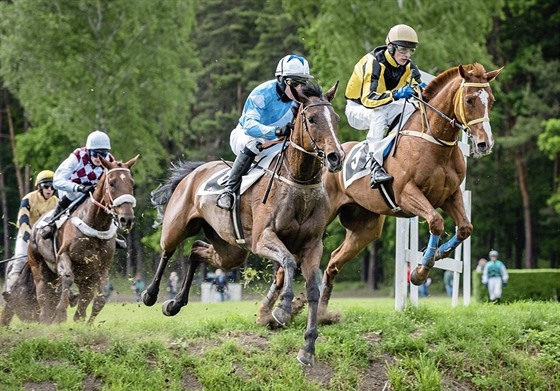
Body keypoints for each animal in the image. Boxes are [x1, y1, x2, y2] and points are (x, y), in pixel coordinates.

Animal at [5, 155, 139, 324]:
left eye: (131, 183)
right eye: (112, 183)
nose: (127, 219)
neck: (95, 225)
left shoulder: (101, 267)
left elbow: (99, 299)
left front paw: (86, 324)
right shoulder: (64, 256)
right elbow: (68, 278)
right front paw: (60, 315)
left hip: (76, 275)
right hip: (39, 267)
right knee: (43, 295)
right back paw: (45, 317)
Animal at [143, 81, 346, 366]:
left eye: (336, 118)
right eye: (312, 119)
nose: (335, 157)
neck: (298, 181)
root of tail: (194, 172)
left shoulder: (312, 246)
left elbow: (312, 290)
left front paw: (308, 347)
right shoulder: (262, 239)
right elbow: (287, 261)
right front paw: (282, 310)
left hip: (231, 251)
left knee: (196, 250)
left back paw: (175, 303)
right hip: (177, 226)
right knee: (167, 251)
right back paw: (151, 295)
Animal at [316, 62, 504, 324]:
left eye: (492, 100)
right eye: (469, 100)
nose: (485, 144)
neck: (434, 141)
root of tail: (329, 159)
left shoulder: (451, 194)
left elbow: (465, 228)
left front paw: (438, 253)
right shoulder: (407, 194)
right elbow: (436, 222)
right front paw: (420, 271)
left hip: (365, 228)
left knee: (333, 260)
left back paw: (321, 313)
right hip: (322, 215)